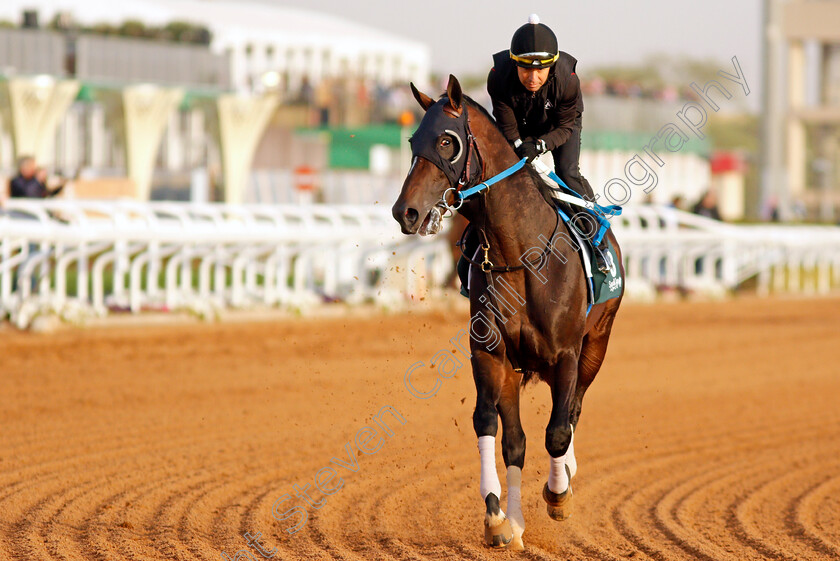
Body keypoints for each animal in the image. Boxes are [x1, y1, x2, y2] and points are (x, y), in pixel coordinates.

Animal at [390, 75, 620, 552]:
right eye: (413, 141)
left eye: (447, 141)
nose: (406, 212)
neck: (520, 255)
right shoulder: (491, 355)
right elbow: (492, 427)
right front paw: (498, 518)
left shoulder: (566, 354)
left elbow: (558, 429)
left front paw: (558, 495)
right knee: (517, 438)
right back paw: (515, 519)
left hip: (596, 345)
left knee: (573, 412)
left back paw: (567, 475)